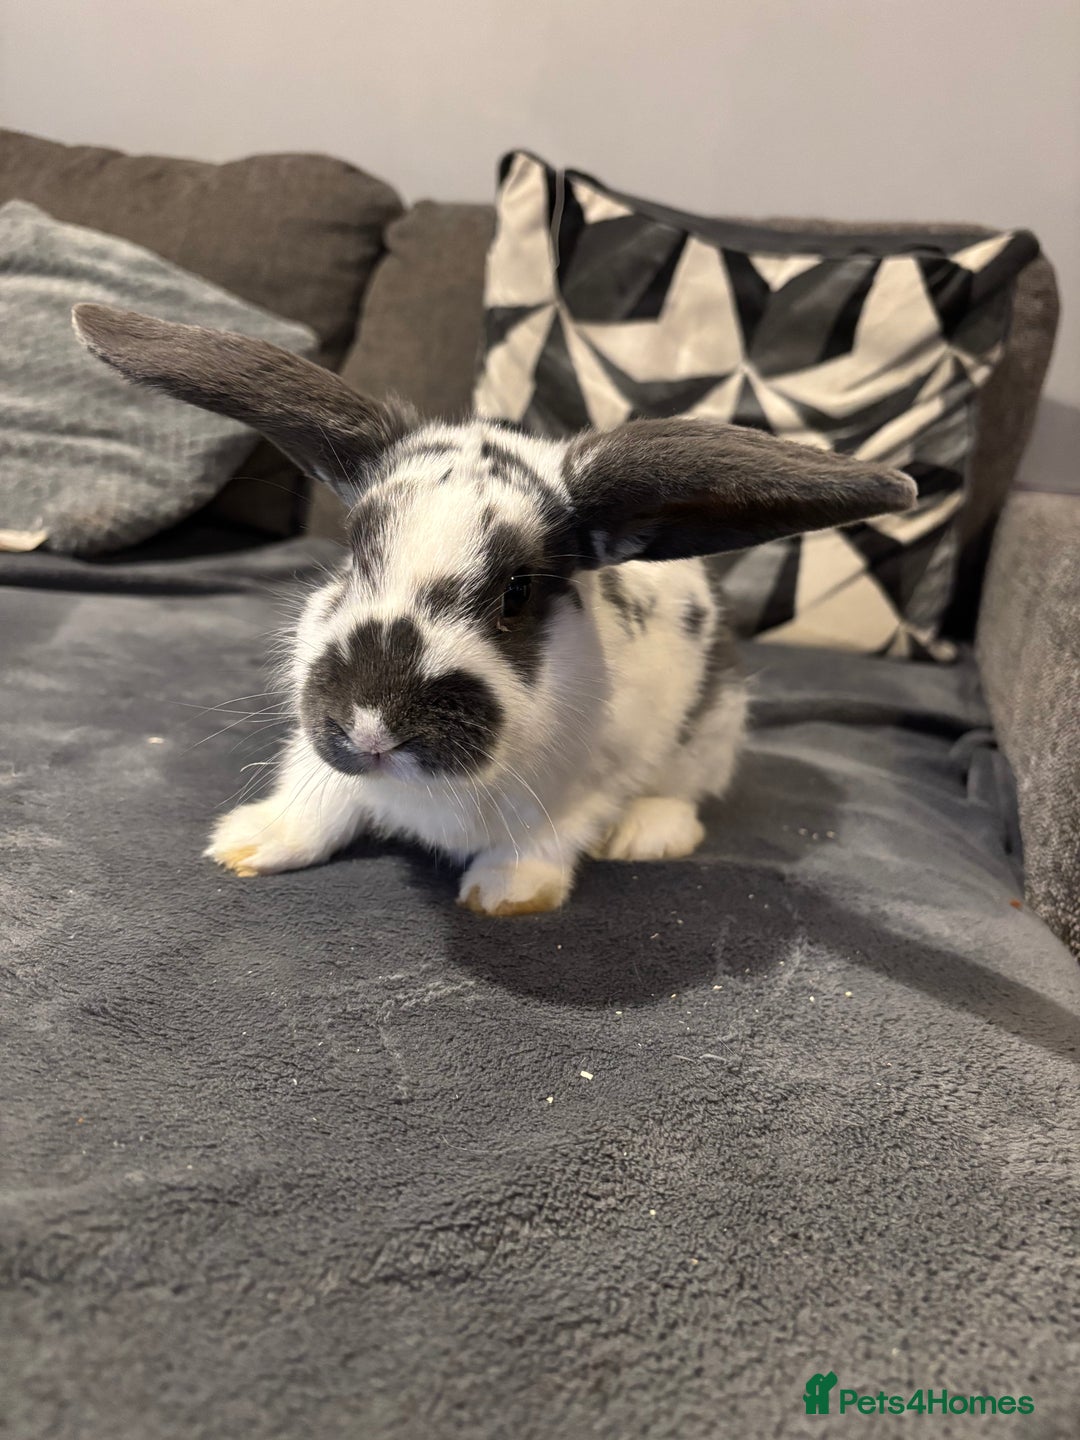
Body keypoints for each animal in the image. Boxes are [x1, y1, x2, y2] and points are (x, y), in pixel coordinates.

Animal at [72, 303, 917, 916]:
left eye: (518, 592)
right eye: (356, 555)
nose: (372, 727)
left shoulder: (590, 782)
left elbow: (552, 835)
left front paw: (506, 896)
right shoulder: (322, 761)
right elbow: (320, 796)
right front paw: (248, 845)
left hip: (712, 729)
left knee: (688, 792)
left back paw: (648, 835)